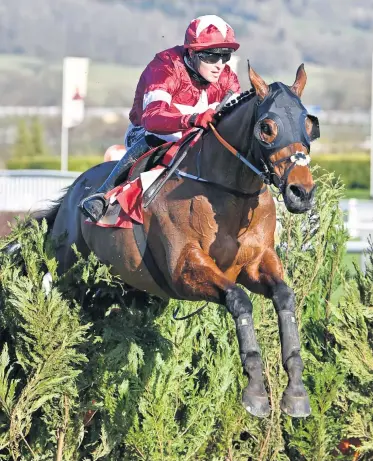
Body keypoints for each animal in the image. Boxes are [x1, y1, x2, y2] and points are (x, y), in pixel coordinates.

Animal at [37, 63, 316, 418]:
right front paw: (255, 391)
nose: (301, 192)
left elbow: (285, 298)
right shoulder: (184, 270)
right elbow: (239, 300)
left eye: (309, 123)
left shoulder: (256, 263)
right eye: (267, 127)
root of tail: (74, 191)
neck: (228, 192)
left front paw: (295, 391)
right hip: (67, 272)